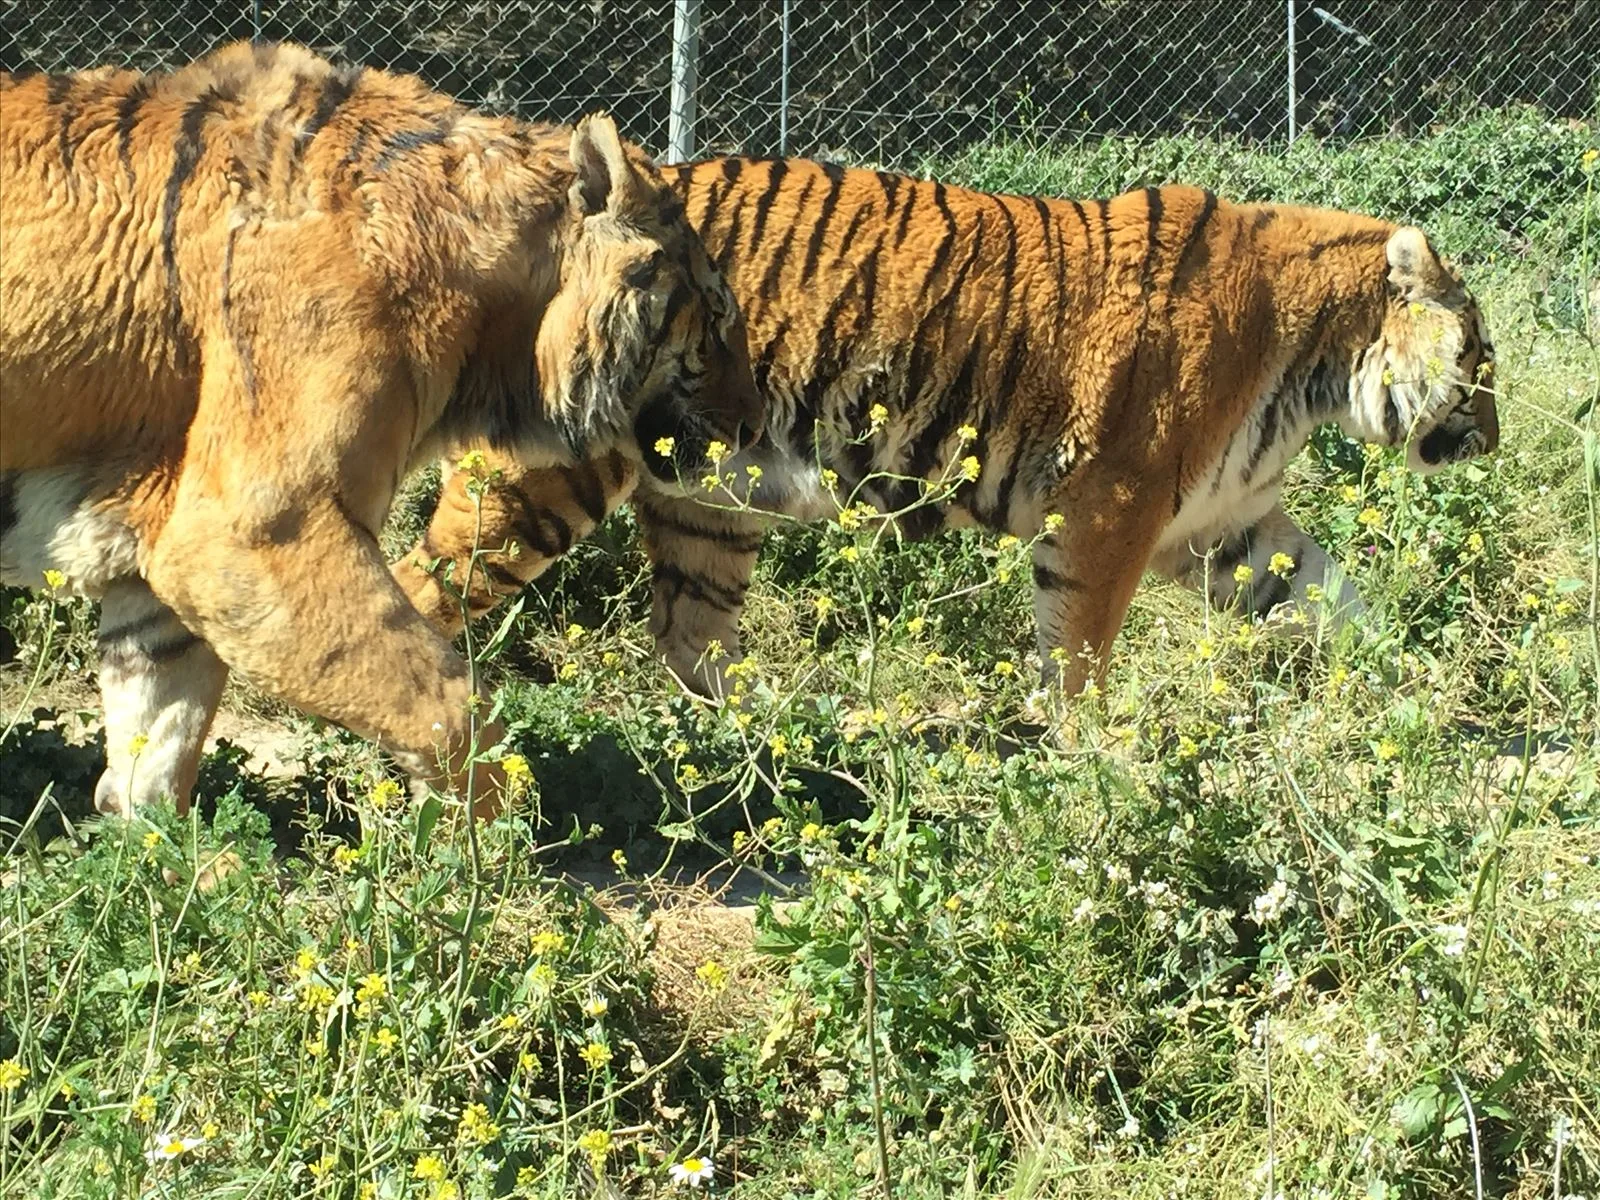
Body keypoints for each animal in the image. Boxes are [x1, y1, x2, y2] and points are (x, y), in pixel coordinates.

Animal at [0, 42, 761, 821]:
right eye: (718, 318)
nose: (755, 423)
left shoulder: (168, 548)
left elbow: (155, 747)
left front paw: (167, 846)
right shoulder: (258, 531)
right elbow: (446, 702)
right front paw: (494, 835)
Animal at [391, 160, 1498, 703]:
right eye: (1482, 358)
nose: (1493, 438)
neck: (1314, 371)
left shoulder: (1225, 523)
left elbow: (1335, 598)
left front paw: (1424, 695)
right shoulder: (1113, 508)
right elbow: (1078, 652)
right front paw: (1090, 768)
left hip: (706, 502)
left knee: (688, 636)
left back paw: (765, 740)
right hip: (543, 478)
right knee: (418, 588)